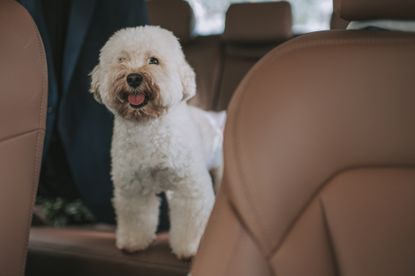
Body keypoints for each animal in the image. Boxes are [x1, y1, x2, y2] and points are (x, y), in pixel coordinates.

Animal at [90, 25, 226, 258]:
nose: (133, 78)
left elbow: (190, 217)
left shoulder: (190, 187)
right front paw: (134, 242)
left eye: (153, 60)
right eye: (122, 59)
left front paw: (190, 247)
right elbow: (136, 217)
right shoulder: (133, 187)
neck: (148, 127)